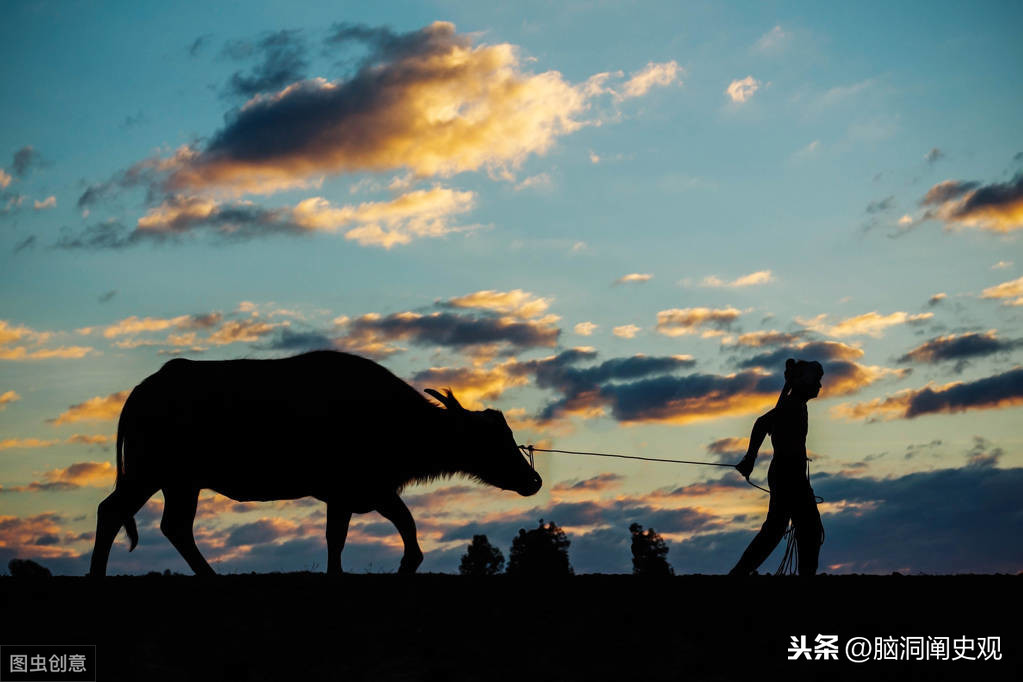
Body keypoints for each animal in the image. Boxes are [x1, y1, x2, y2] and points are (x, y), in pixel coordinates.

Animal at [90, 351, 544, 576]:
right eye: (494, 438)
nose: (534, 480)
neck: (393, 418)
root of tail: (143, 390)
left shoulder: (360, 495)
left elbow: (368, 538)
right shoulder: (358, 491)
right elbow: (385, 541)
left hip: (179, 483)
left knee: (174, 527)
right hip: (152, 473)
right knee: (113, 511)